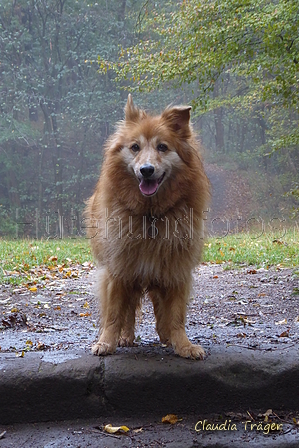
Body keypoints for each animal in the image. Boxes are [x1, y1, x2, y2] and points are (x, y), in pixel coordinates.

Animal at [85, 95, 210, 360]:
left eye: (162, 147)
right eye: (135, 147)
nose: (147, 170)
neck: (150, 215)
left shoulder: (176, 268)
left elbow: (176, 315)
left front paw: (183, 345)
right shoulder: (119, 269)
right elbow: (114, 314)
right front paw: (106, 342)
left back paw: (165, 335)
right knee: (129, 309)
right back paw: (125, 337)